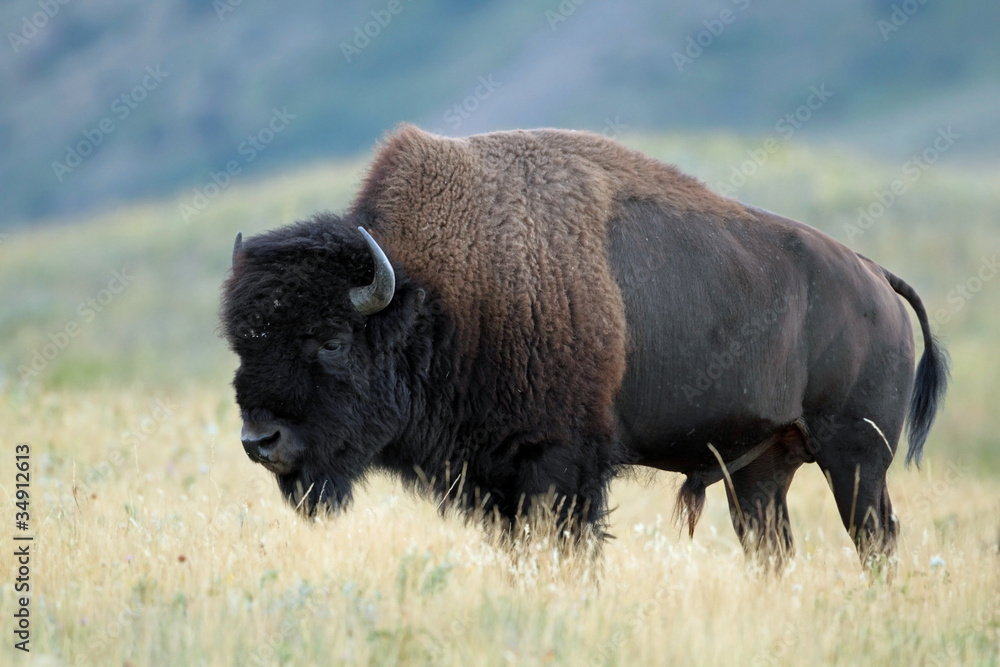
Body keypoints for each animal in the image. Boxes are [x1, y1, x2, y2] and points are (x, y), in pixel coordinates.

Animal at [223, 124, 948, 564]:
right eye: (240, 343)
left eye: (332, 340)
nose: (260, 441)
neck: (436, 295)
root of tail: (876, 277)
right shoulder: (500, 479)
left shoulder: (561, 466)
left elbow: (569, 543)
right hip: (762, 471)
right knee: (772, 545)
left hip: (856, 458)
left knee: (875, 538)